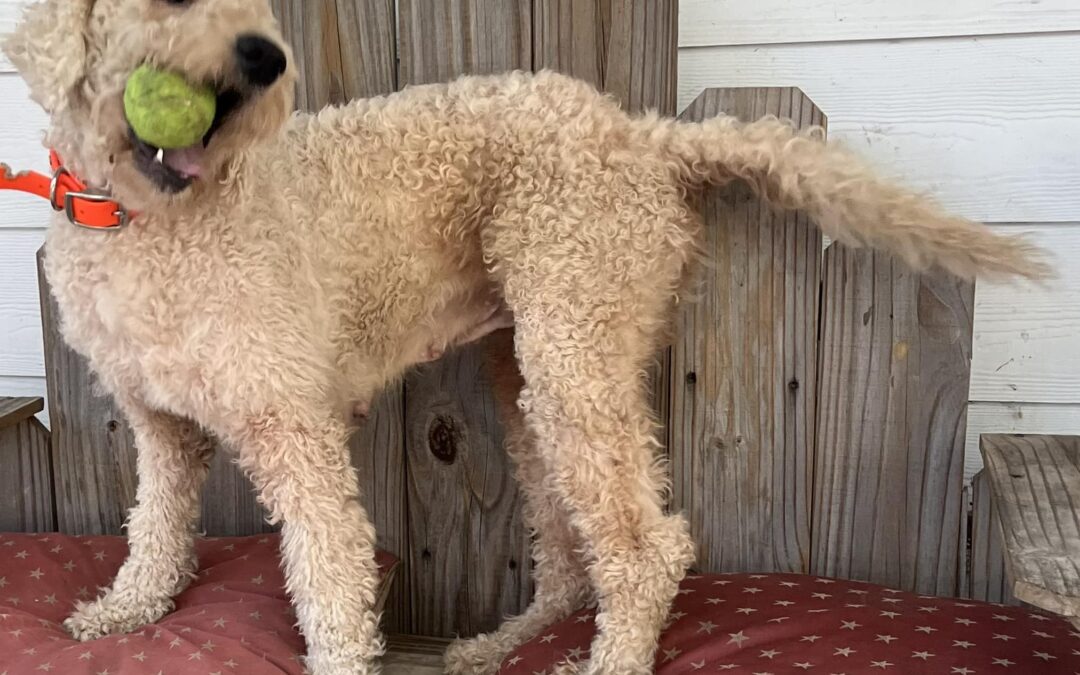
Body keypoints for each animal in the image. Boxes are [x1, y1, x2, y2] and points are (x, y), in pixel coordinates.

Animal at [0, 1, 1045, 673]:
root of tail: (646, 135)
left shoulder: (295, 430)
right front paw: (125, 608)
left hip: (574, 354)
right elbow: (155, 529)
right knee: (573, 559)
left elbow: (330, 581)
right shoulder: (161, 427)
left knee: (646, 549)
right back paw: (501, 645)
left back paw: (610, 664)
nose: (264, 60)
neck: (141, 218)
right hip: (530, 385)